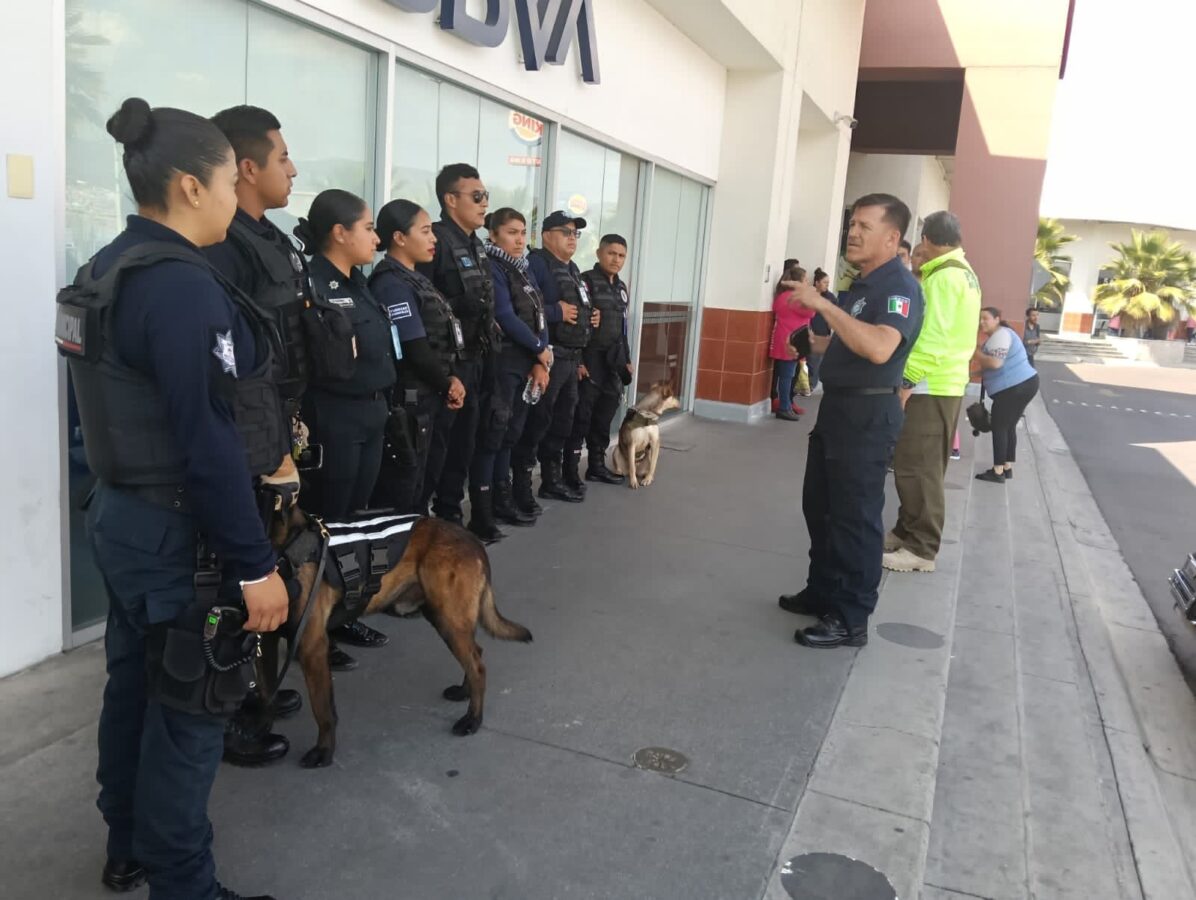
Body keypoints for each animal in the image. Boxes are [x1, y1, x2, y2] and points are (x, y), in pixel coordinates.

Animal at [260, 509, 533, 769]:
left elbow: (322, 709)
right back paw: (465, 692)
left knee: (477, 665)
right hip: (446, 618)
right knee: (476, 653)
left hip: (449, 620)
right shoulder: (268, 643)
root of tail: (472, 538)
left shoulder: (311, 646)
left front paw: (324, 751)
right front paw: (260, 732)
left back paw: (473, 719)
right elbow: (266, 691)